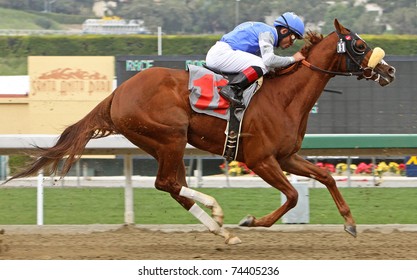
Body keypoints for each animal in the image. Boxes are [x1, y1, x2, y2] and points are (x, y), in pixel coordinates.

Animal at [4, 19, 394, 244]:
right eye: (359, 46)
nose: (389, 70)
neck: (284, 97)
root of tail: (118, 92)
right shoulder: (260, 159)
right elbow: (294, 195)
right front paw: (251, 221)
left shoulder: (286, 156)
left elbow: (325, 178)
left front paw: (350, 223)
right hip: (170, 137)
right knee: (168, 183)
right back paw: (219, 214)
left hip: (162, 143)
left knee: (174, 187)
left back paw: (220, 229)